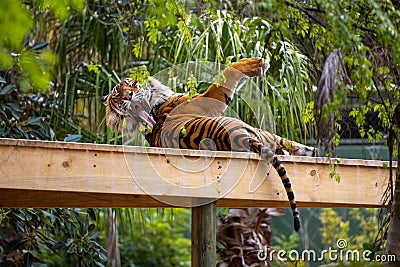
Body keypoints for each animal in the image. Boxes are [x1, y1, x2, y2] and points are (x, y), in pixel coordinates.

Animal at [101, 58, 318, 232]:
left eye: (130, 85)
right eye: (118, 97)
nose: (127, 97)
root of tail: (238, 138)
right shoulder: (207, 100)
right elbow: (225, 75)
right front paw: (256, 64)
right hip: (252, 129)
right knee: (281, 141)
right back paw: (310, 150)